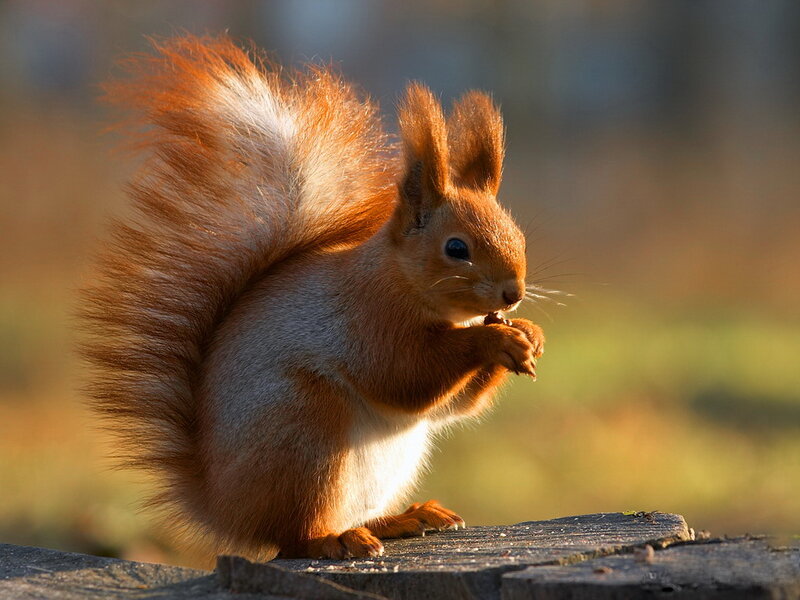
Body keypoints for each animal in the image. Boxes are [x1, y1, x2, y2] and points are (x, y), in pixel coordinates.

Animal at [80, 34, 544, 561]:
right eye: (456, 249)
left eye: (518, 235)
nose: (513, 293)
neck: (397, 279)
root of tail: (224, 508)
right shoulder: (367, 317)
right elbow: (405, 376)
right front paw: (495, 341)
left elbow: (453, 406)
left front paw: (529, 333)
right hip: (304, 430)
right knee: (293, 535)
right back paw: (334, 538)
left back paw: (401, 519)